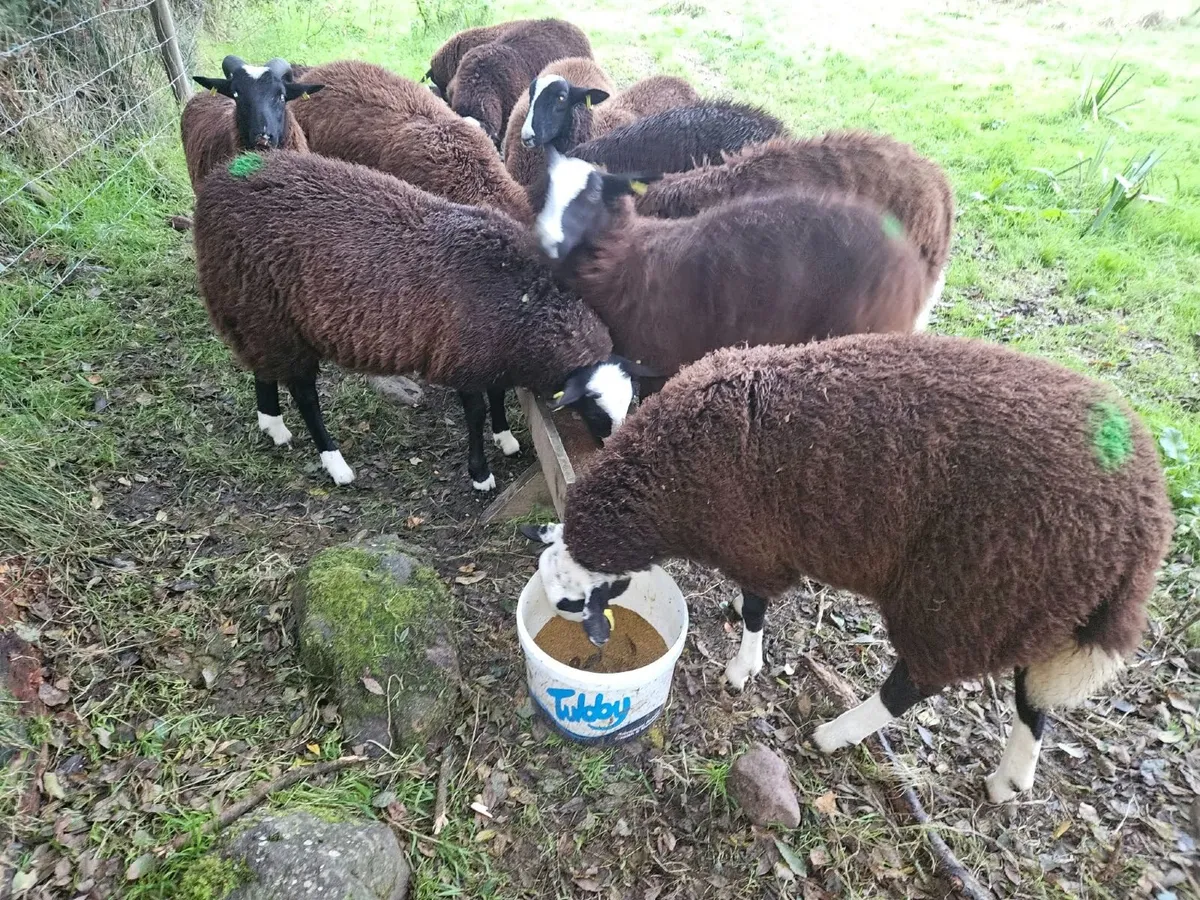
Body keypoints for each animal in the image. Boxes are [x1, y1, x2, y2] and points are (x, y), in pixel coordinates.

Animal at [192, 150, 649, 491]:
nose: (611, 456)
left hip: (254, 310)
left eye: (631, 405)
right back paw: (335, 463)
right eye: (595, 411)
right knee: (305, 395)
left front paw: (505, 438)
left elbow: (498, 395)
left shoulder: (492, 354)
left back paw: (272, 424)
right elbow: (476, 412)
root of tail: (219, 179)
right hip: (273, 318)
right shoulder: (464, 360)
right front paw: (481, 474)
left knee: (261, 366)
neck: (524, 300)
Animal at [521, 335, 1173, 803]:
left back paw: (836, 734)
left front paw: (743, 667)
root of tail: (1145, 522)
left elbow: (756, 607)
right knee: (1034, 699)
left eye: (573, 607)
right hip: (1033, 604)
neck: (663, 482)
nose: (595, 649)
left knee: (914, 685)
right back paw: (1009, 780)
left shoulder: (755, 544)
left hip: (963, 597)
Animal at [534, 152, 928, 387]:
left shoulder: (657, 364)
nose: (546, 239)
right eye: (547, 191)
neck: (627, 252)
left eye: (589, 197)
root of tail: (910, 264)